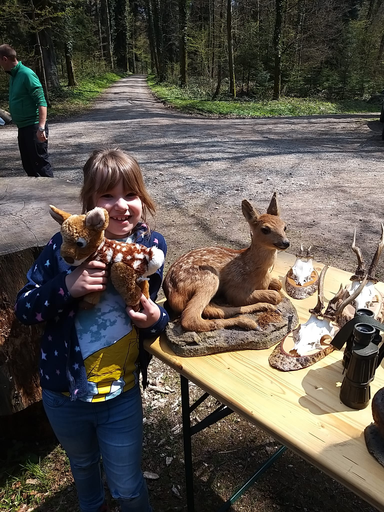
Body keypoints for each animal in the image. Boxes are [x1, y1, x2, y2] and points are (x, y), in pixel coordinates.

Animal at [163, 192, 292, 332]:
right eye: (265, 229)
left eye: (285, 226)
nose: (286, 242)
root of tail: (170, 292)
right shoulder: (237, 289)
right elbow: (275, 295)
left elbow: (278, 284)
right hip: (208, 278)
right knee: (191, 318)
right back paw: (250, 321)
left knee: (211, 309)